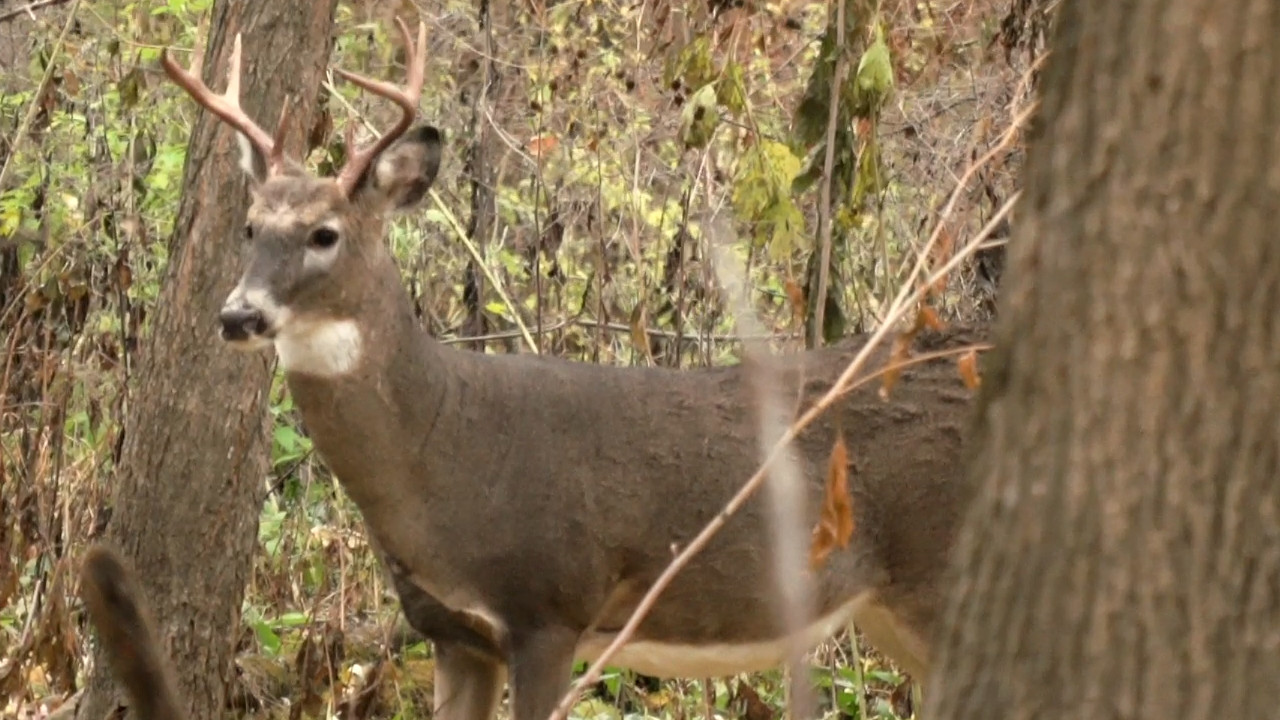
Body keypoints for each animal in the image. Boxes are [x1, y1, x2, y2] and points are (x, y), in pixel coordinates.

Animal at [160, 16, 977, 717]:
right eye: (250, 226)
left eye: (324, 233)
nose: (238, 315)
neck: (444, 453)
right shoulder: (454, 633)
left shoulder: (550, 608)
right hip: (886, 609)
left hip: (937, 577)